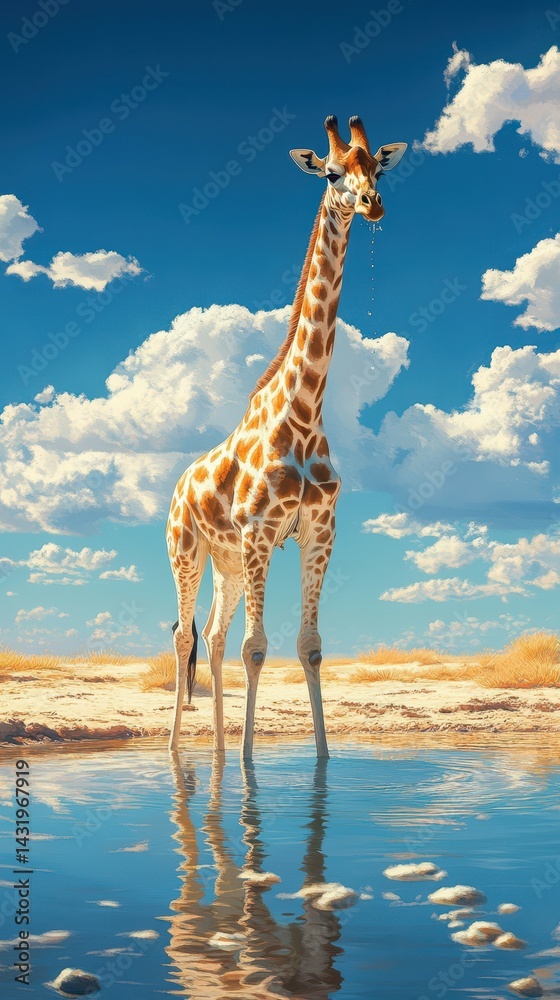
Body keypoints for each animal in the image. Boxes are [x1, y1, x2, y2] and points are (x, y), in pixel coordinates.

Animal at [166, 115, 407, 758]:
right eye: (330, 173)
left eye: (377, 168)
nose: (372, 204)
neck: (303, 415)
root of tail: (177, 488)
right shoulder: (259, 532)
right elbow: (257, 649)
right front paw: (252, 769)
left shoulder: (319, 530)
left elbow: (310, 647)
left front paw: (319, 763)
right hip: (187, 552)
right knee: (185, 637)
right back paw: (180, 749)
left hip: (226, 563)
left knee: (214, 636)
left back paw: (219, 752)